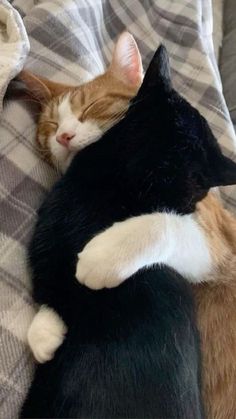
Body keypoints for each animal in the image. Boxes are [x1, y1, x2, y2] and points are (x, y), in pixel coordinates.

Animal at [21, 46, 236, 419]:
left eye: (93, 107)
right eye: (50, 125)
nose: (63, 136)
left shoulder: (218, 247)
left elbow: (164, 224)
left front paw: (99, 261)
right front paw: (46, 329)